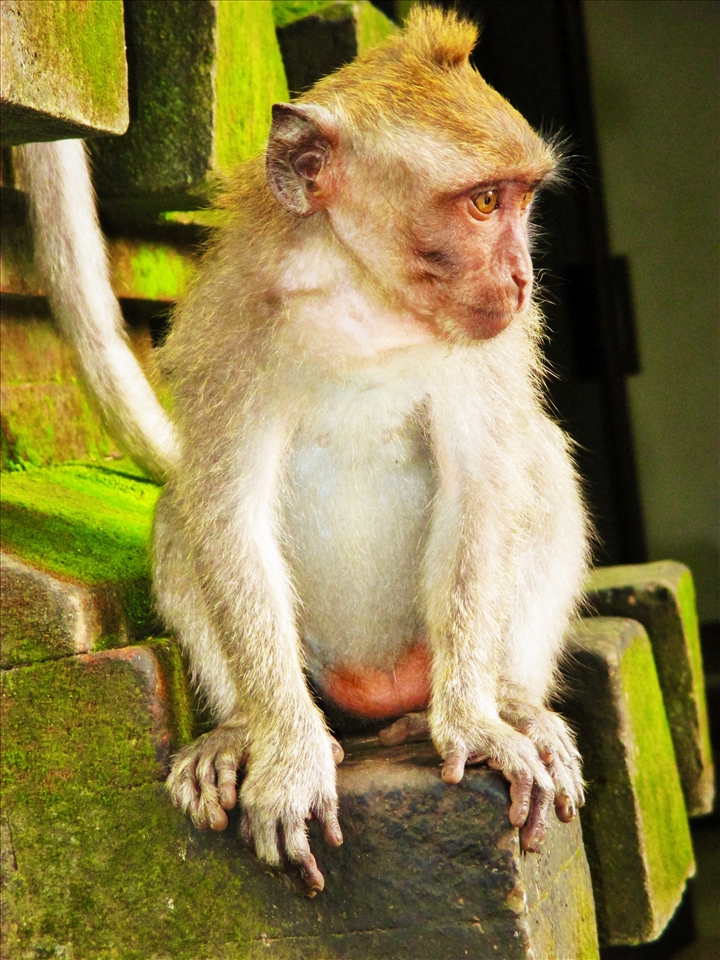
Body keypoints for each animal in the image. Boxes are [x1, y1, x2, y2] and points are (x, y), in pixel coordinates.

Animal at [18, 7, 589, 896]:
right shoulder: (230, 327)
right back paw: (236, 733)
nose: (524, 277)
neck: (363, 294)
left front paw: (475, 721)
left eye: (520, 199)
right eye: (484, 201)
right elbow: (225, 510)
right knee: (179, 513)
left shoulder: (491, 345)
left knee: (539, 465)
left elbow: (481, 491)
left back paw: (508, 702)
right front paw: (286, 758)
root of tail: (378, 693)